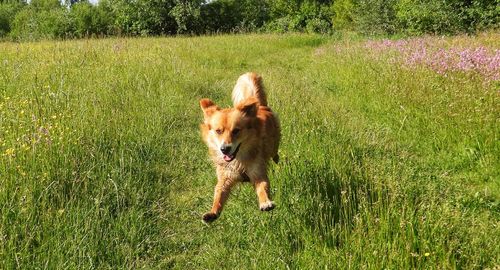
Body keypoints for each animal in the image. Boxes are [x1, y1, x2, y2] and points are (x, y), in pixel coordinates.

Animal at [200, 71, 282, 221]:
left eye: (236, 131)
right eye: (218, 131)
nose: (224, 149)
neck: (238, 160)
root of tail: (260, 106)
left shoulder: (258, 171)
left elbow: (263, 187)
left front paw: (265, 203)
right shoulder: (225, 176)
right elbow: (218, 193)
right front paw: (213, 212)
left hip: (274, 143)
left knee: (274, 152)